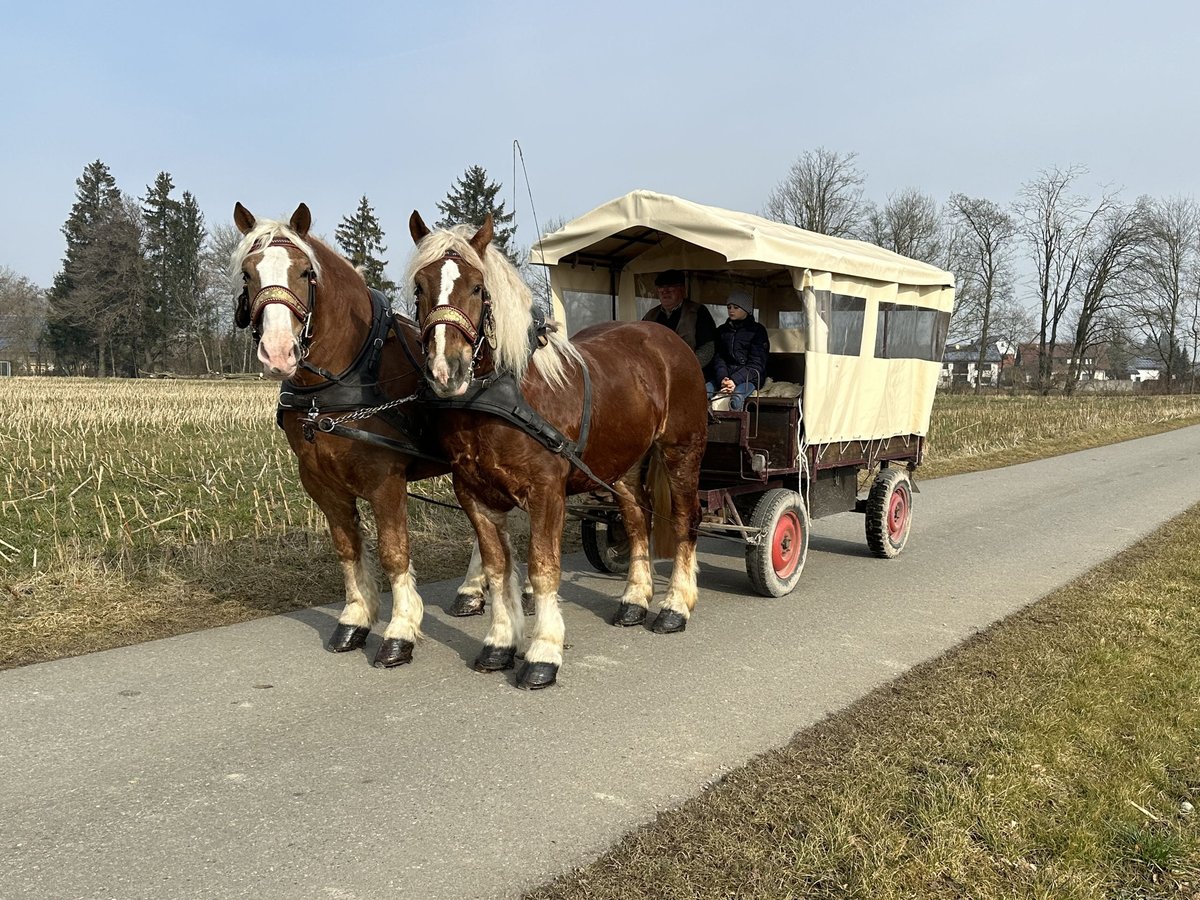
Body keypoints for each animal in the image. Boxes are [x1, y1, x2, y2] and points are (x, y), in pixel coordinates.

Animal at [229, 206, 492, 672]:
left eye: (304, 272)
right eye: (248, 273)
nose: (278, 353)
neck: (347, 374)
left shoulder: (385, 480)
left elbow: (393, 551)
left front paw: (400, 630)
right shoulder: (320, 482)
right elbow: (347, 548)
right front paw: (355, 619)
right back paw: (473, 590)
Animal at [408, 211, 705, 691]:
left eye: (477, 287)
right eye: (420, 287)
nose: (445, 370)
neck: (507, 394)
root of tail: (667, 340)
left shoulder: (546, 492)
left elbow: (542, 568)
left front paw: (543, 650)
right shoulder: (474, 494)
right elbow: (498, 568)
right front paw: (500, 642)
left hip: (682, 451)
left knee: (683, 520)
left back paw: (675, 605)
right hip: (622, 465)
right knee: (637, 520)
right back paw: (634, 599)